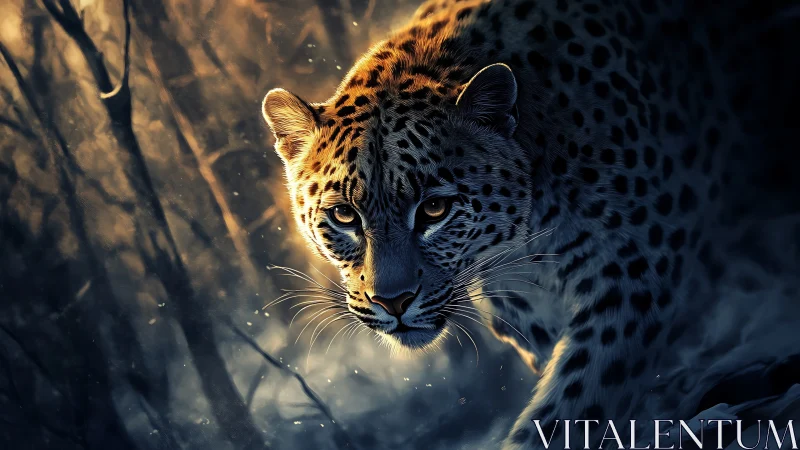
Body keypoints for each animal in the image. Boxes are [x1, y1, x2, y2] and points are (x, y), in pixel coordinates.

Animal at [260, 0, 796, 448]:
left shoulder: (636, 271)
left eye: (433, 210)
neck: (523, 245)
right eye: (344, 216)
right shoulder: (525, 312)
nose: (393, 302)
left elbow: (578, 398)